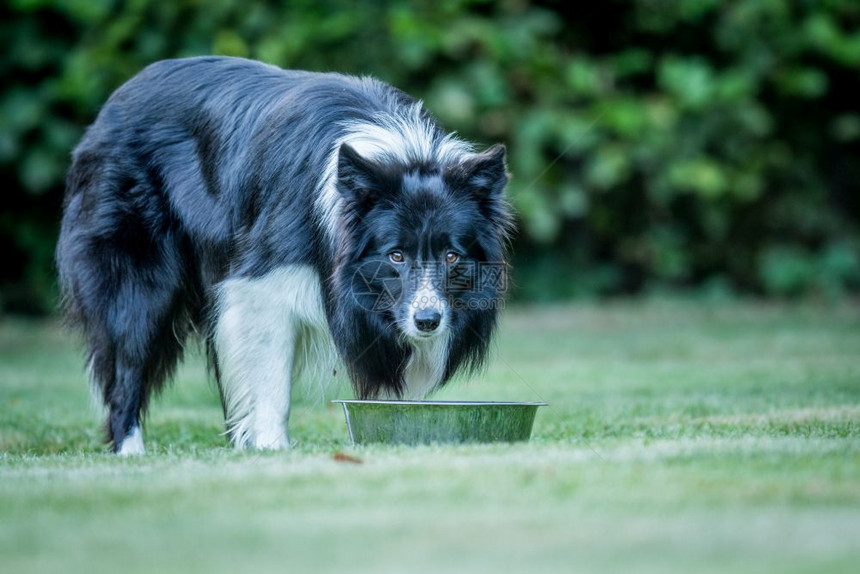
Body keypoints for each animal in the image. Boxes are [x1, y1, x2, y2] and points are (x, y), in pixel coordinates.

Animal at [57, 57, 512, 454]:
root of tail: (113, 104)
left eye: (452, 257)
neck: (399, 153)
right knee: (127, 362)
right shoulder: (261, 281)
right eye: (396, 256)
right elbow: (271, 376)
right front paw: (273, 448)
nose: (427, 321)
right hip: (138, 278)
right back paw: (130, 450)